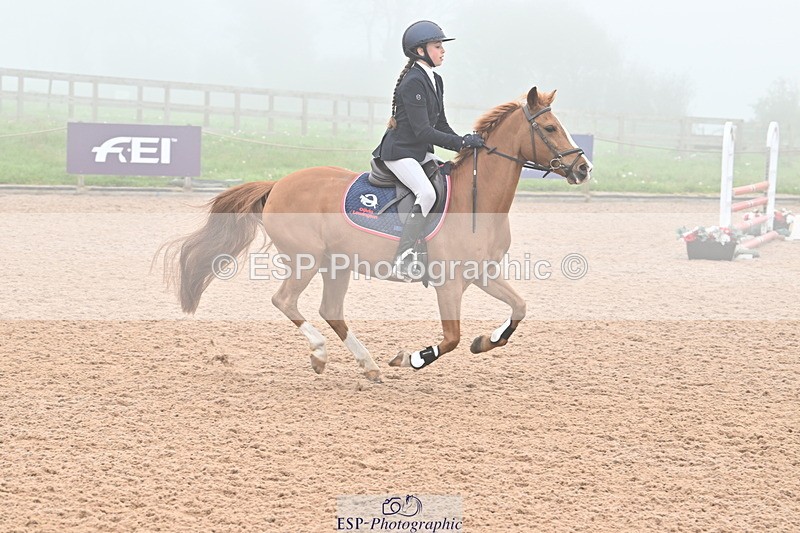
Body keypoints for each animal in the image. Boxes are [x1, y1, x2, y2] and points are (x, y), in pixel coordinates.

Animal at [161, 87, 592, 382]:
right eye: (550, 127)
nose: (583, 168)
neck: (478, 199)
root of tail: (278, 184)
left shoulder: (482, 273)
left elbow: (519, 308)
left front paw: (486, 341)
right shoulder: (449, 282)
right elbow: (450, 337)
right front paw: (412, 358)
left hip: (336, 264)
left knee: (331, 311)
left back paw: (366, 365)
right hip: (306, 260)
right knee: (285, 301)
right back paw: (320, 354)